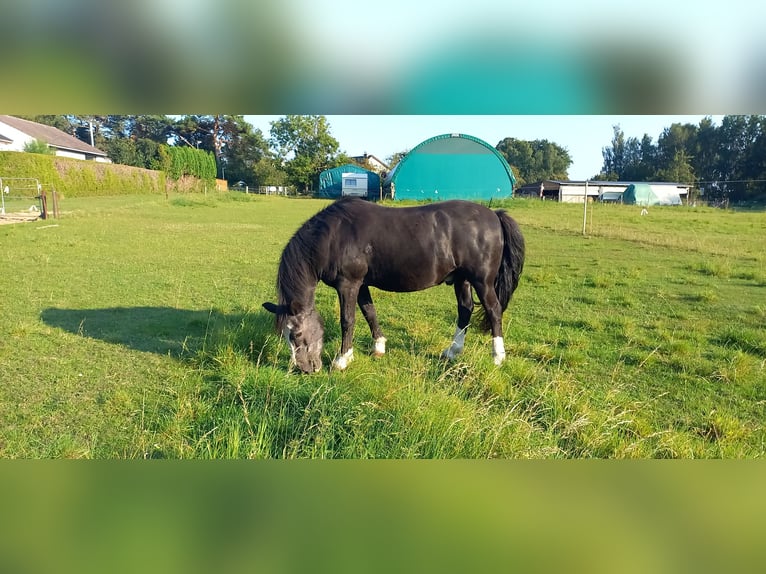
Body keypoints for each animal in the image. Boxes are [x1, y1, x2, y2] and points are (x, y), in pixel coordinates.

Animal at [262, 197, 525, 373]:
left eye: (296, 334)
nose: (305, 369)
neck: (334, 236)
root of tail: (494, 215)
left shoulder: (348, 284)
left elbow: (348, 320)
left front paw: (342, 359)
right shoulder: (361, 285)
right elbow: (369, 312)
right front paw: (378, 347)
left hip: (482, 281)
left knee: (493, 311)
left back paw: (497, 357)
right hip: (461, 279)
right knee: (465, 310)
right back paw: (452, 352)